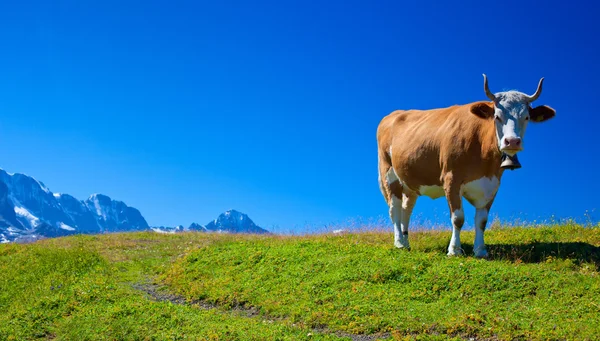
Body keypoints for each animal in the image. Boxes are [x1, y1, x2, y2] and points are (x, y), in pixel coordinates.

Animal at [378, 73, 556, 255]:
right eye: (497, 116)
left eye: (526, 117)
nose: (512, 141)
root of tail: (394, 114)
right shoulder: (451, 179)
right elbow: (458, 218)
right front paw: (454, 250)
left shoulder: (492, 184)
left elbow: (482, 221)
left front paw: (480, 250)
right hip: (389, 173)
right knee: (394, 209)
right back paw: (399, 242)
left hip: (410, 181)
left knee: (406, 209)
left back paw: (406, 242)